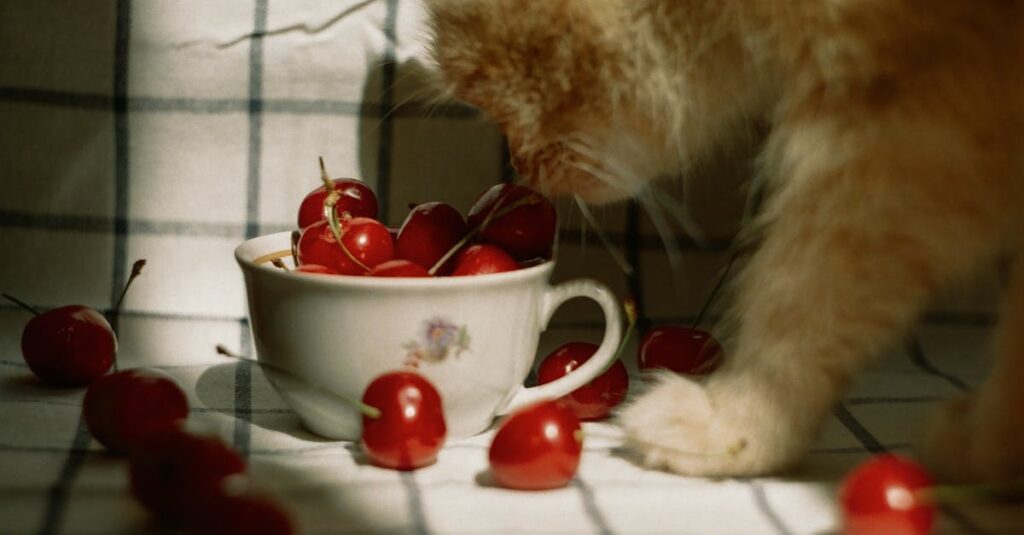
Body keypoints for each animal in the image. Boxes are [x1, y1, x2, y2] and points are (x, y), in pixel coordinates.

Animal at [419, 0, 1019, 479]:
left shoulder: (900, 116)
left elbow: (809, 286)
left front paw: (740, 419)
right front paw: (995, 446)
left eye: (481, 87)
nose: (520, 167)